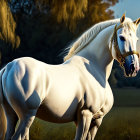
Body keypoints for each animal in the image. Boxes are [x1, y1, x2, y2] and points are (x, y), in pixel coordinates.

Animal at [0, 14, 140, 140]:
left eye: (136, 39)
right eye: (121, 37)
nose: (133, 67)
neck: (94, 68)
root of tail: (9, 67)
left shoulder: (95, 120)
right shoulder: (86, 115)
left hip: (11, 114)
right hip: (27, 116)